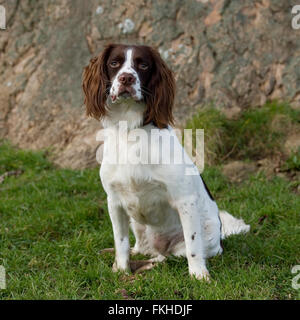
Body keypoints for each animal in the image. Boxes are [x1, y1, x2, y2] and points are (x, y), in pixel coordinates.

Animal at [83, 43, 250, 282]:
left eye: (143, 65)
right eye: (114, 63)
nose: (126, 78)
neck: (130, 131)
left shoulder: (184, 200)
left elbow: (192, 245)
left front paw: (199, 276)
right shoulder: (114, 201)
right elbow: (121, 243)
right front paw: (121, 269)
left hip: (203, 237)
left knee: (166, 257)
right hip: (138, 225)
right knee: (142, 249)